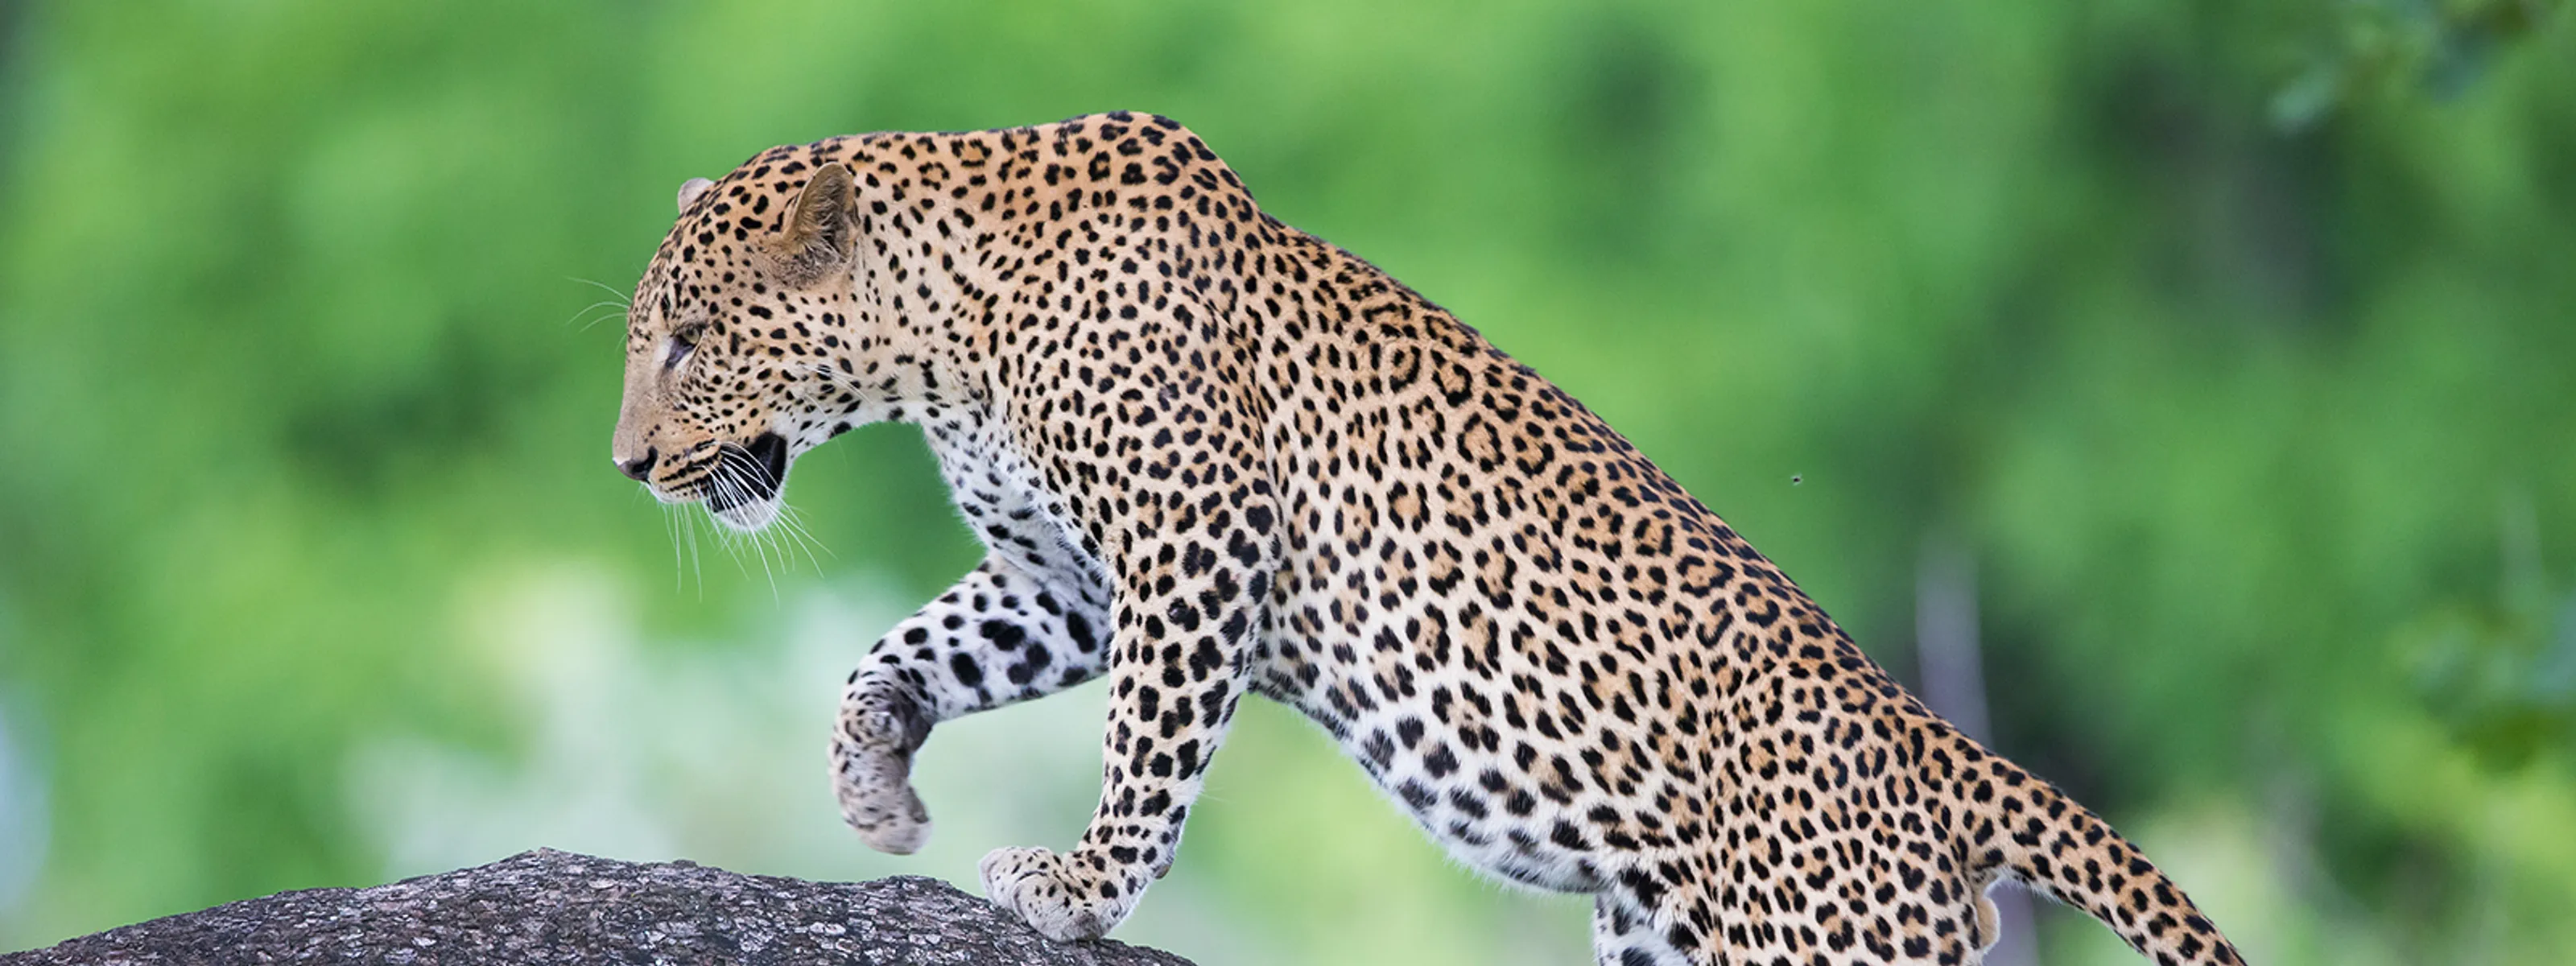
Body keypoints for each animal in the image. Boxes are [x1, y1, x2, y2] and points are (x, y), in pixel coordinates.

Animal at [608, 112, 2246, 965]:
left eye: (687, 343)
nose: (627, 465)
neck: (943, 353)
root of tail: (1937, 751)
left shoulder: (1192, 542)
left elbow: (1148, 748)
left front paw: (1079, 886)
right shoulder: (1067, 582)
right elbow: (907, 649)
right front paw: (875, 780)